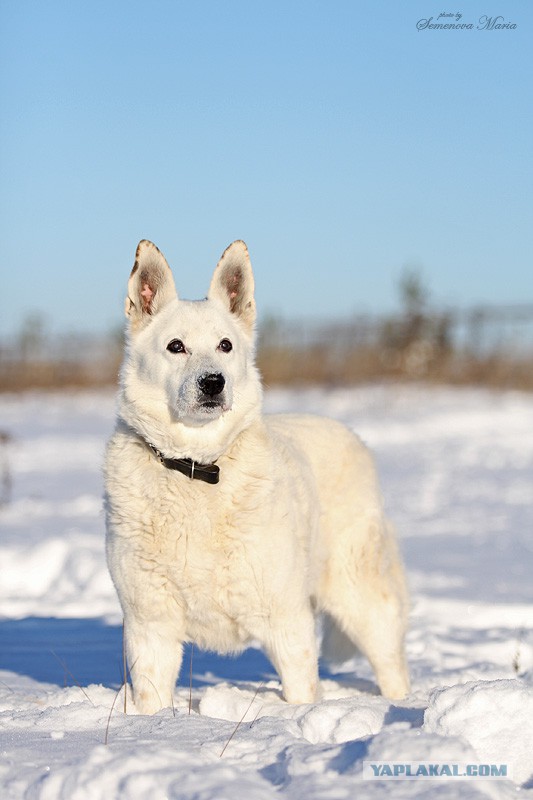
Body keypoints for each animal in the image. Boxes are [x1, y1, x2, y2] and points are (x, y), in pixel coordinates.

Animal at [105, 239, 412, 712]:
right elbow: (151, 700)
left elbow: (302, 694)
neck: (197, 467)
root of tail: (351, 435)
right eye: (176, 346)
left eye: (225, 345)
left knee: (392, 665)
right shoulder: (150, 624)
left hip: (359, 595)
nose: (213, 382)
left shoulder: (286, 620)